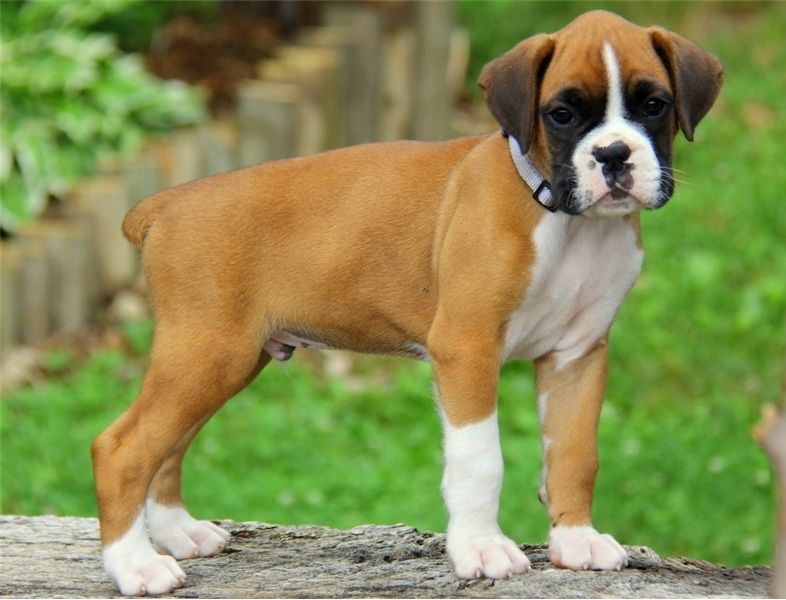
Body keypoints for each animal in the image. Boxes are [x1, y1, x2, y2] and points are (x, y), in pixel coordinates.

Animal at [92, 10, 723, 595]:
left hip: (222, 362)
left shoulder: (577, 356)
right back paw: (136, 565)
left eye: (654, 105)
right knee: (123, 448)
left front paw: (575, 540)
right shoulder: (467, 349)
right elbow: (479, 460)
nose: (614, 154)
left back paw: (177, 532)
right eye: (562, 114)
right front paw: (480, 549)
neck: (563, 219)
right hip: (206, 355)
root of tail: (167, 204)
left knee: (167, 448)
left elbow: (574, 453)